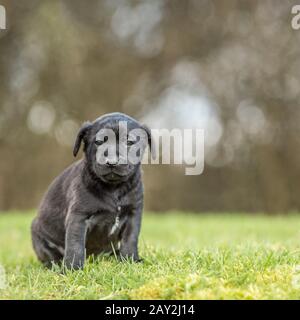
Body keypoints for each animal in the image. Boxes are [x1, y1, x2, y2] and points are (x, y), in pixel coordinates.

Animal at [31, 113, 154, 270]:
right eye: (99, 142)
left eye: (129, 142)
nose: (112, 161)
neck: (114, 188)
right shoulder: (79, 217)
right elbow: (75, 244)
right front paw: (73, 268)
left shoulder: (133, 214)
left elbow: (130, 239)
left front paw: (130, 260)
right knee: (51, 257)